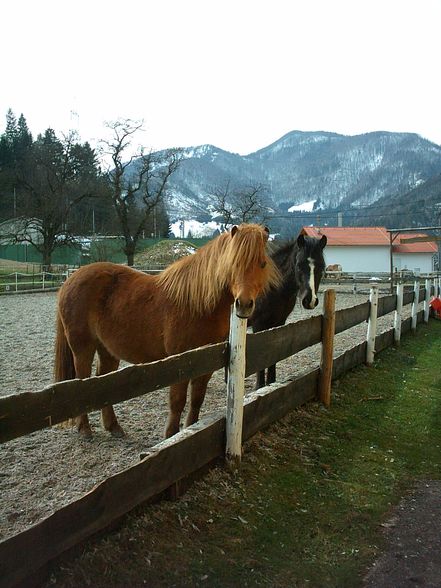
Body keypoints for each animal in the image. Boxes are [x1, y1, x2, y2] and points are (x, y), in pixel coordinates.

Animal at [53, 224, 276, 436]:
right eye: (233, 263)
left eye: (262, 263)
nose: (244, 305)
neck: (197, 304)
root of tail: (70, 280)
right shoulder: (180, 362)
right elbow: (177, 402)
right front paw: (171, 434)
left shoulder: (206, 365)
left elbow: (197, 399)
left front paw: (191, 428)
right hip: (82, 348)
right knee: (82, 383)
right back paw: (85, 429)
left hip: (107, 349)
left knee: (102, 383)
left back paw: (113, 426)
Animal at [248, 234, 326, 390]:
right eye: (299, 265)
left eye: (322, 266)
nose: (310, 300)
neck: (269, 287)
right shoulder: (258, 325)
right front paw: (260, 387)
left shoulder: (278, 323)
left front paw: (271, 383)